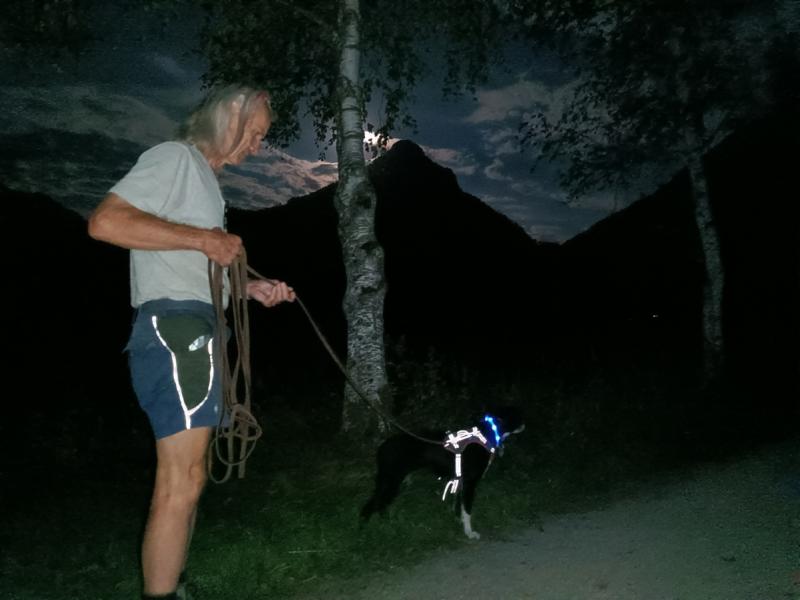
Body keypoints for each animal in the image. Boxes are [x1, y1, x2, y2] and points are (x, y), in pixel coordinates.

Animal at [360, 406, 525, 539]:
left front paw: (458, 521)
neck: (485, 435)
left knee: (378, 504)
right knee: (374, 504)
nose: (524, 423)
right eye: (516, 415)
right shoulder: (470, 484)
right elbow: (467, 511)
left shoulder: (460, 481)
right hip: (392, 481)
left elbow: (457, 505)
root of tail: (383, 447)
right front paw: (469, 532)